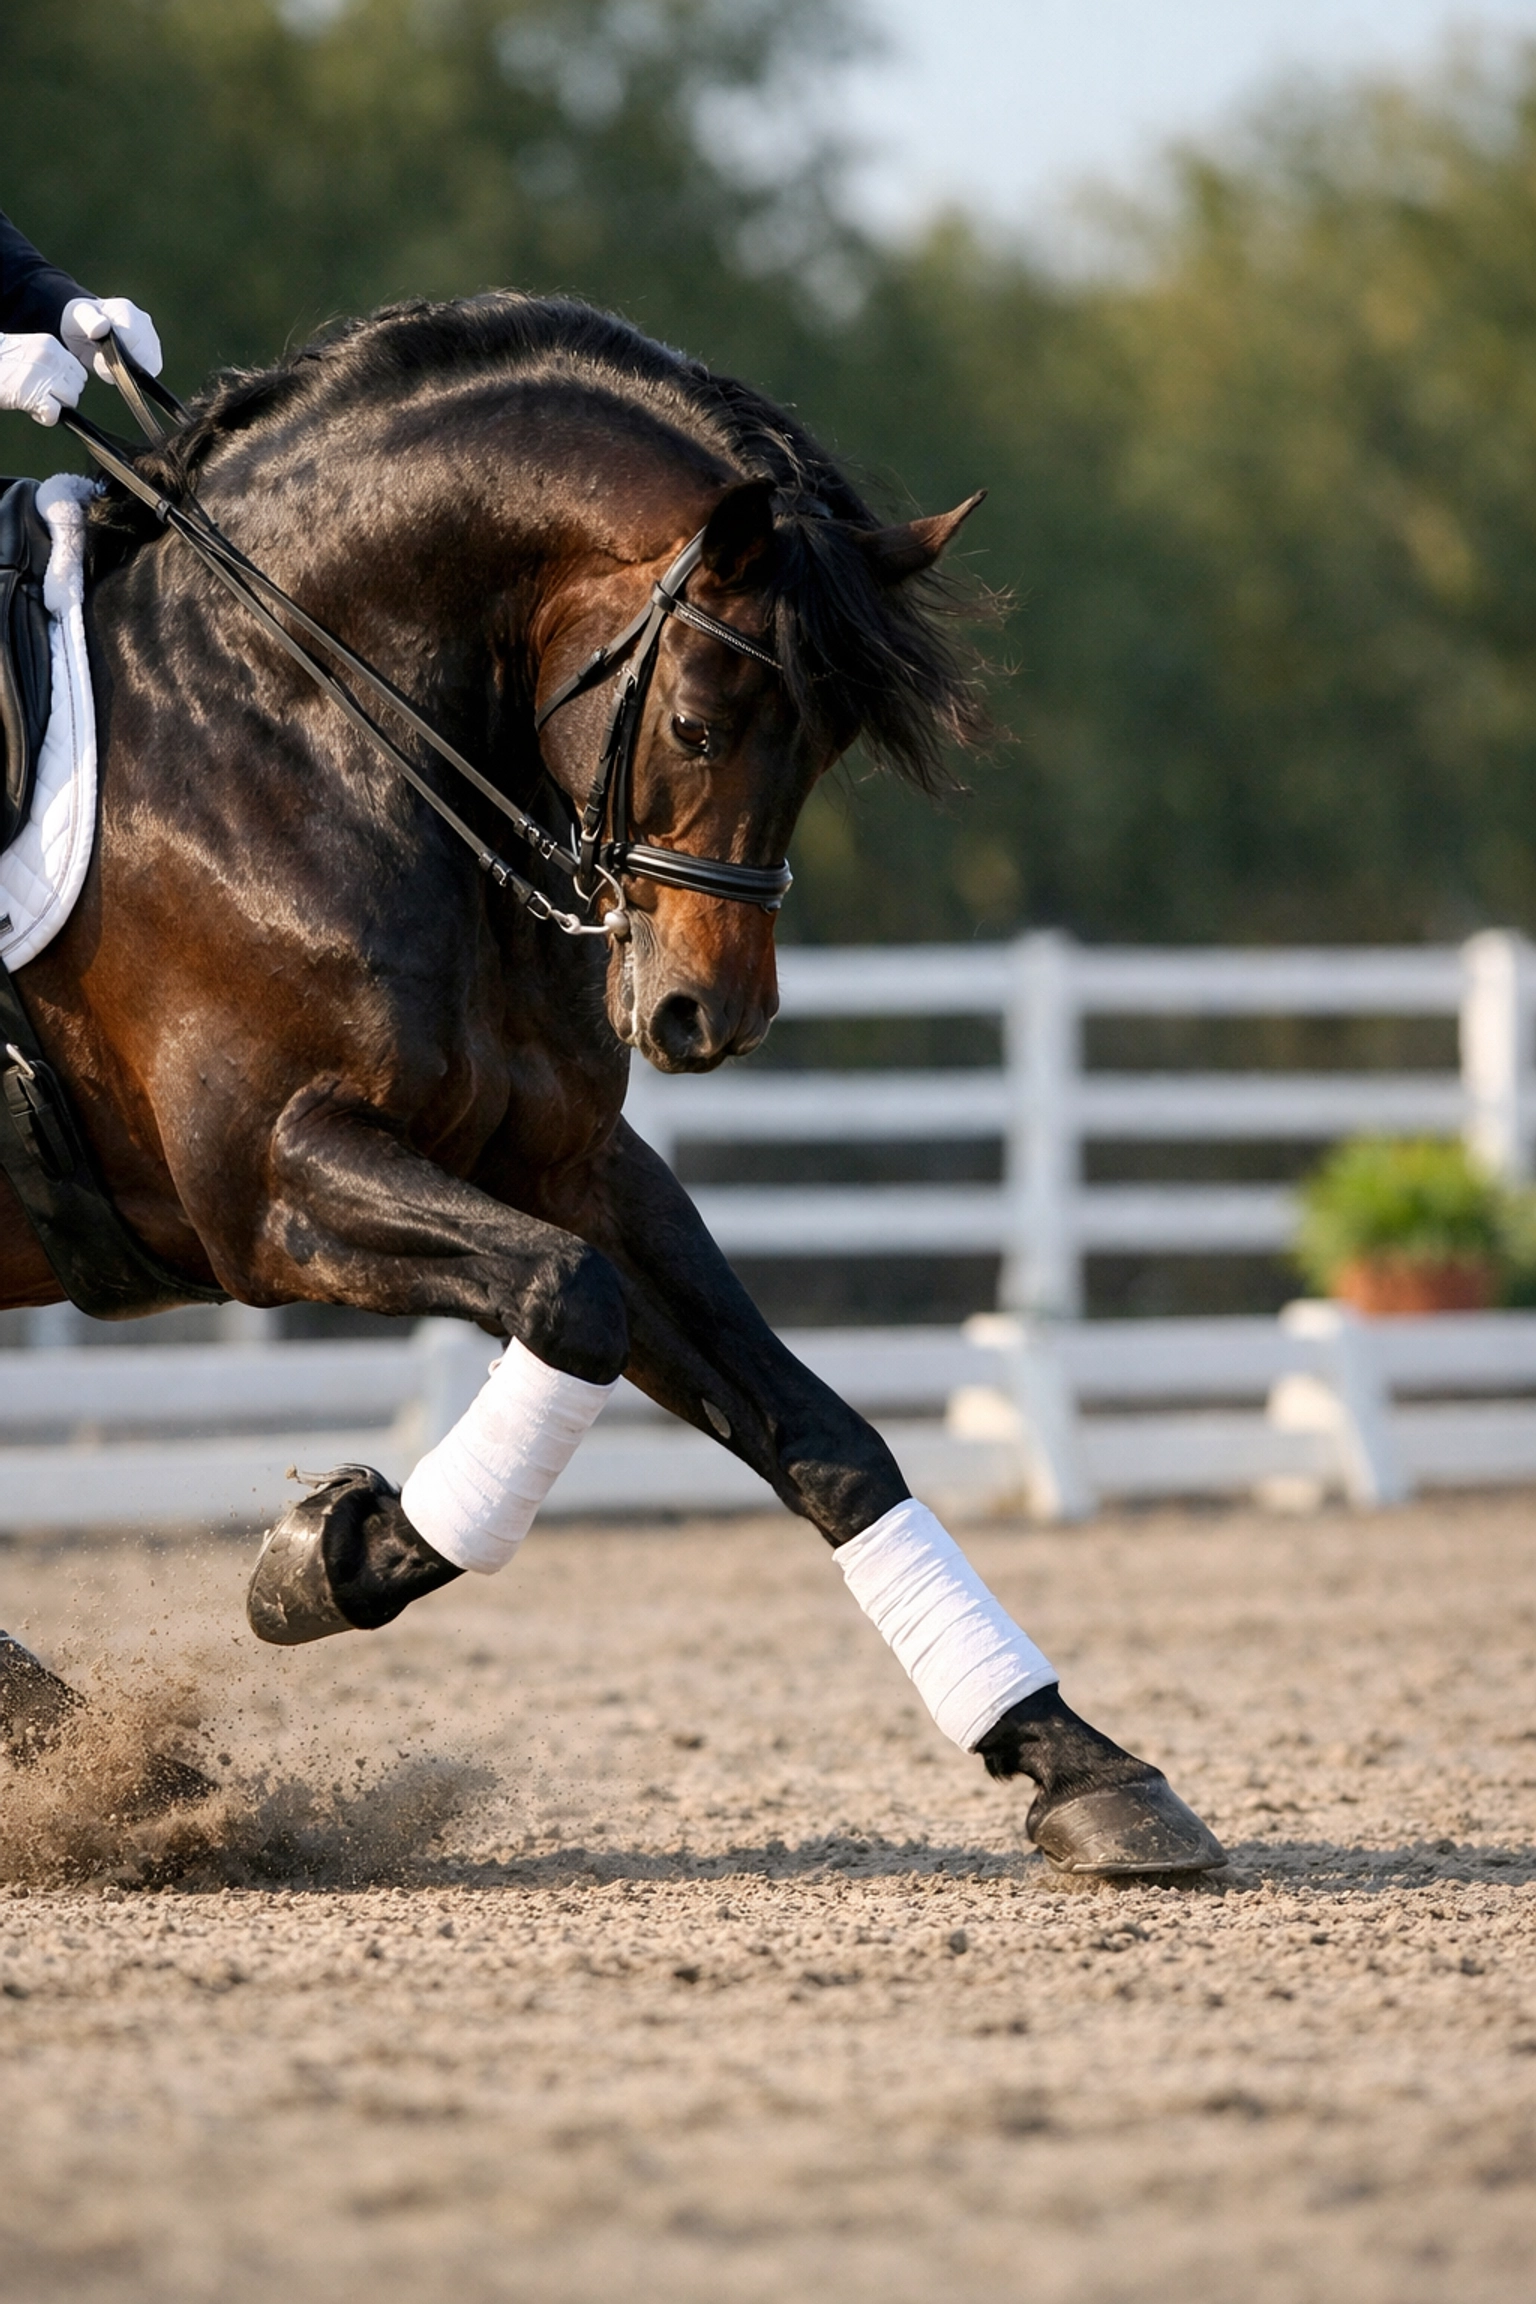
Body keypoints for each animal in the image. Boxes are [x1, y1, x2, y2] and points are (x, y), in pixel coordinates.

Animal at [0, 294, 1222, 1878]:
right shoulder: (265, 1186)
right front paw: (326, 1560)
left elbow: (820, 1435)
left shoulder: (571, 1163)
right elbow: (568, 1301)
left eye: (828, 742)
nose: (711, 1016)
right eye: (699, 720)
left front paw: (1081, 1763)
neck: (294, 727)